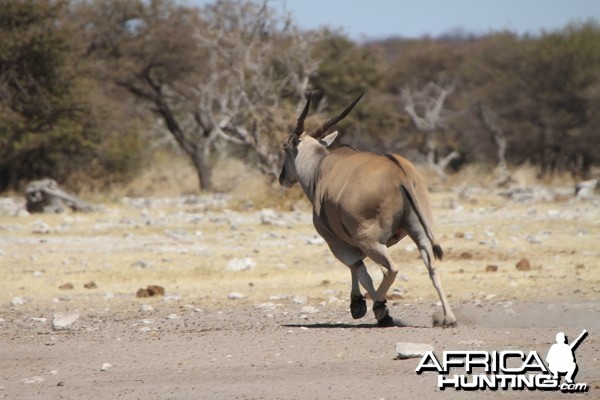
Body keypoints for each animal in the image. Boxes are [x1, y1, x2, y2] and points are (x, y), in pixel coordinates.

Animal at [278, 94, 458, 328]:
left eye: (284, 147)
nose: (282, 177)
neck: (319, 168)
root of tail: (401, 173)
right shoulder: (361, 243)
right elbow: (361, 269)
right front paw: (359, 303)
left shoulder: (338, 243)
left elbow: (360, 270)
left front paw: (364, 306)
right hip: (419, 235)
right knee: (432, 269)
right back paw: (448, 318)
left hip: (371, 241)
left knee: (392, 269)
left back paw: (381, 308)